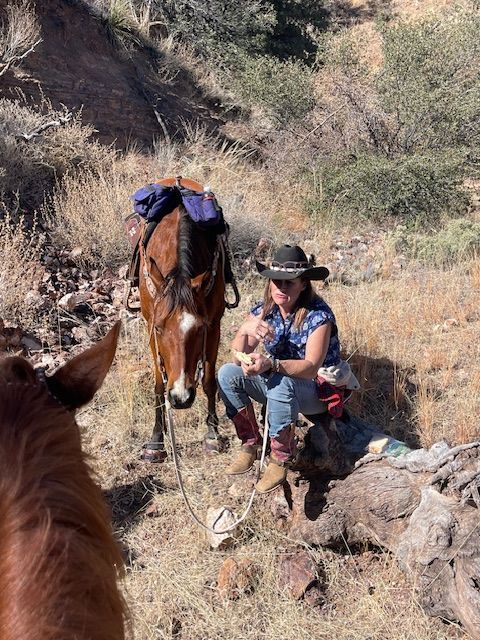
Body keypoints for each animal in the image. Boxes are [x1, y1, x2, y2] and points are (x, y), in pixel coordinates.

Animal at [139, 177, 233, 462]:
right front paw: (156, 441)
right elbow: (159, 384)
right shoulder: (150, 327)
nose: (181, 397)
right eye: (160, 329)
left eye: (199, 330)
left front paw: (212, 434)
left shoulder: (214, 325)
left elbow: (209, 380)